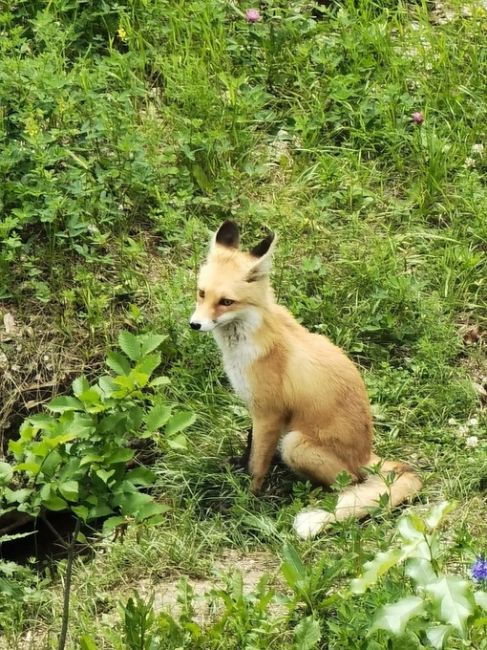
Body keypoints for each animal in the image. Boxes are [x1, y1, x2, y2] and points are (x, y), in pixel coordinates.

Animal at [191, 220, 424, 536]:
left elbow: (257, 466)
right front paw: (237, 470)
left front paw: (247, 501)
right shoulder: (256, 410)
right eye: (202, 293)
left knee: (349, 483)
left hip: (294, 443)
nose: (194, 324)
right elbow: (249, 449)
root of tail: (365, 455)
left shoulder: (269, 413)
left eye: (226, 301)